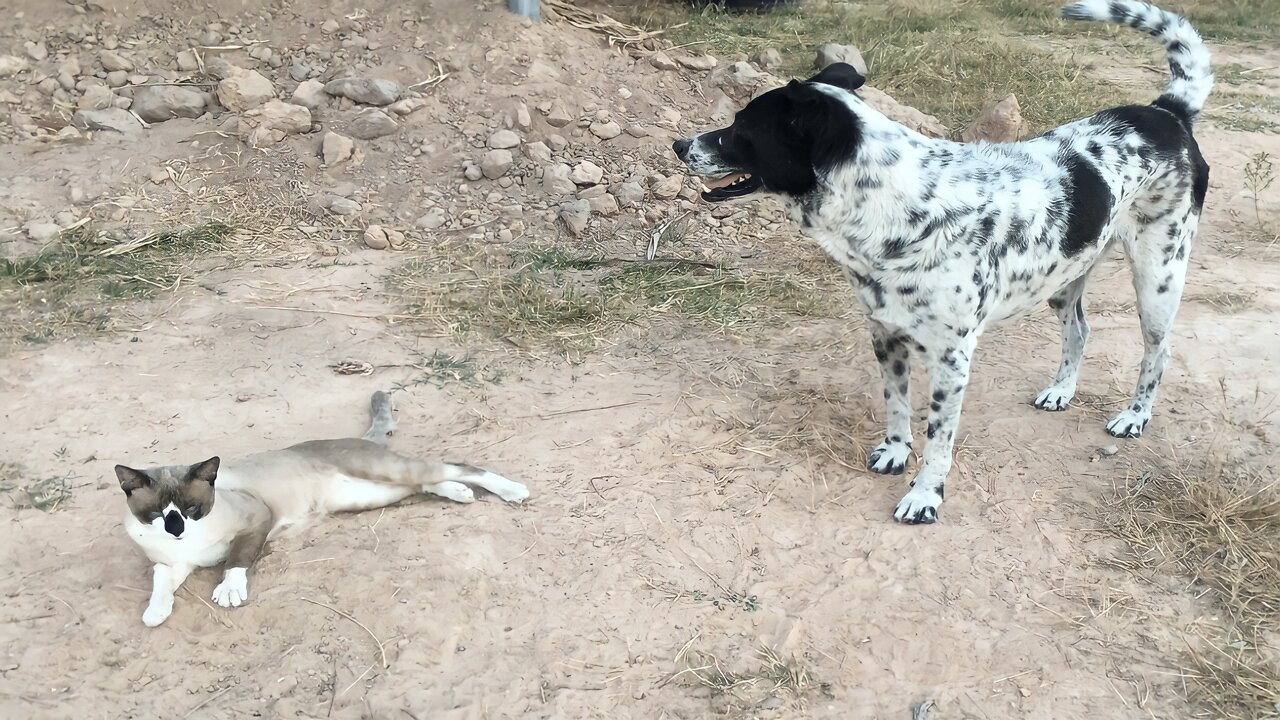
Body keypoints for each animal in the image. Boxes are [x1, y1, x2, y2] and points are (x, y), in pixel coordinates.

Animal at [115, 389, 524, 625]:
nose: (176, 528)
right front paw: (156, 612)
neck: (186, 546)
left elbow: (236, 561)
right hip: (373, 494)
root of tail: (361, 440)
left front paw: (229, 590)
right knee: (428, 481)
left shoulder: (256, 520)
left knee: (458, 466)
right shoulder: (172, 563)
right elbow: (160, 585)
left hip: (385, 473)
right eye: (157, 514)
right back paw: (461, 493)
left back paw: (512, 490)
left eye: (192, 508)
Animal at [675, 2, 1213, 525]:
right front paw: (896, 451)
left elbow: (939, 439)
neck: (898, 205)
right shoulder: (885, 334)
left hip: (1158, 277)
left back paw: (1134, 416)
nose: (680, 145)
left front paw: (924, 496)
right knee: (1080, 330)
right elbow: (896, 405)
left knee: (1158, 351)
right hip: (1064, 278)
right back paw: (1061, 390)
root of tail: (1167, 112)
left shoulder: (953, 357)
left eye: (742, 127)